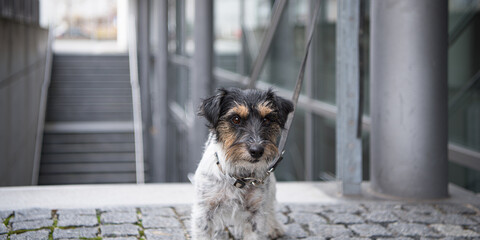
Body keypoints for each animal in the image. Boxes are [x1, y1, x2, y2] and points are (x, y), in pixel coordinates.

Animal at [190, 88, 292, 240]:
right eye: (236, 119)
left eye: (267, 119)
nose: (257, 150)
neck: (239, 175)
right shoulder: (204, 210)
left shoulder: (256, 213)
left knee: (270, 207)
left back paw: (274, 227)